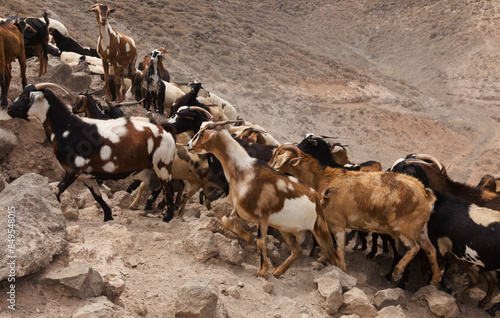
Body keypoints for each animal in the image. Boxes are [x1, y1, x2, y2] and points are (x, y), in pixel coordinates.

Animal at [7, 82, 178, 221]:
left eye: (25, 96)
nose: (9, 109)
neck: (67, 127)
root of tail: (164, 130)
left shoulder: (73, 170)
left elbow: (56, 191)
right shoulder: (86, 176)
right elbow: (97, 196)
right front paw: (108, 217)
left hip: (162, 166)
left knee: (169, 189)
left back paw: (168, 217)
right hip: (152, 169)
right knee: (158, 188)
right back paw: (149, 208)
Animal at [186, 120, 342, 278]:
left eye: (202, 132)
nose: (188, 145)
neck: (245, 172)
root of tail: (317, 198)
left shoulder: (263, 216)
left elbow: (260, 241)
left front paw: (262, 271)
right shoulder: (241, 211)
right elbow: (225, 220)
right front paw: (247, 237)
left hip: (320, 229)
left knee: (334, 256)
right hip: (284, 227)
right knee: (297, 250)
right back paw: (278, 271)